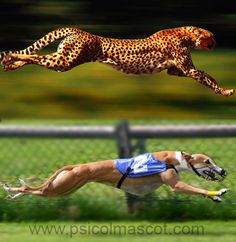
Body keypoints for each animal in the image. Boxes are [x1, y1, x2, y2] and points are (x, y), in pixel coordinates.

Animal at [0, 25, 233, 95]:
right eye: (211, 36)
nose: (216, 41)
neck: (185, 34)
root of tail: (78, 30)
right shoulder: (188, 69)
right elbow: (207, 77)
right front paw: (225, 91)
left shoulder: (175, 70)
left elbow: (204, 74)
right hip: (65, 61)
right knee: (34, 55)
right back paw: (10, 58)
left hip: (62, 59)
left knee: (36, 57)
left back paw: (11, 64)